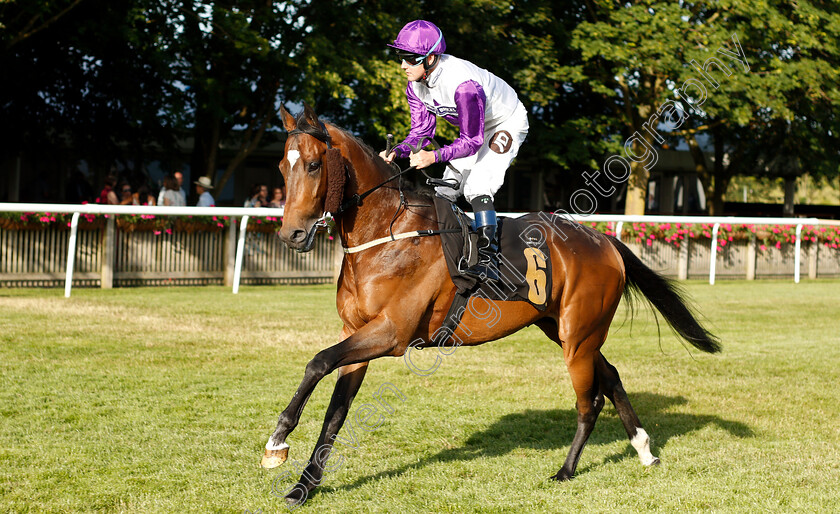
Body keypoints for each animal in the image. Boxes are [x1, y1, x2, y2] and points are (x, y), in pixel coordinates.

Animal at [264, 104, 720, 504]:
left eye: (313, 165)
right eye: (283, 167)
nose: (291, 235)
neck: (386, 234)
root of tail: (603, 240)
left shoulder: (391, 333)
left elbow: (318, 362)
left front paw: (277, 440)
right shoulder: (357, 332)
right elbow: (335, 412)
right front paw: (303, 487)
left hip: (578, 337)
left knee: (588, 402)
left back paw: (566, 470)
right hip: (564, 330)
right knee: (610, 377)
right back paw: (644, 450)